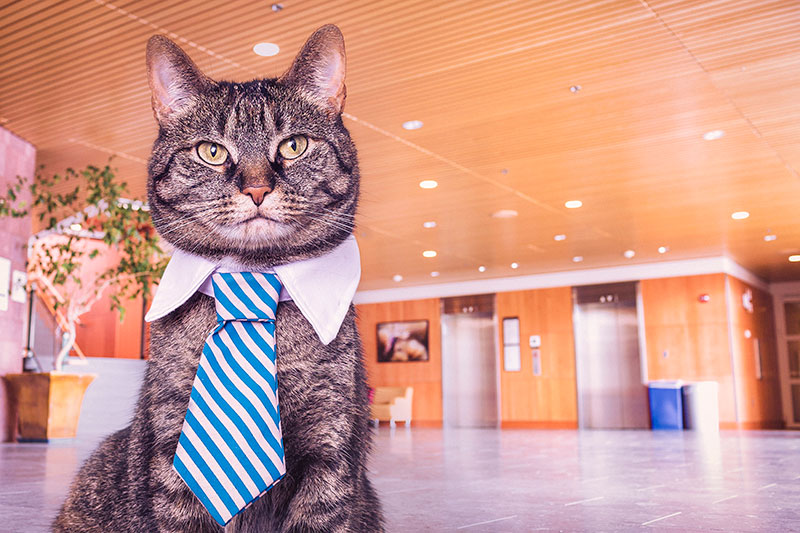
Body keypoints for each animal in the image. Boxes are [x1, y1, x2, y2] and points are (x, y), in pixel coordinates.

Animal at [54, 22, 382, 528]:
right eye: (211, 152)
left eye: (294, 145)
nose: (257, 188)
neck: (251, 278)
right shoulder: (172, 459)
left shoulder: (330, 459)